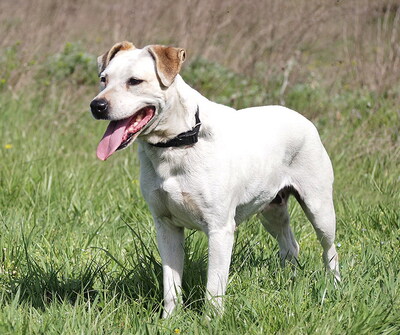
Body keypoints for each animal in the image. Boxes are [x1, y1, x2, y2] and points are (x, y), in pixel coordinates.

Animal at [90, 42, 340, 318]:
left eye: (135, 81)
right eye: (104, 79)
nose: (97, 105)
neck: (176, 143)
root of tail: (302, 118)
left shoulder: (220, 229)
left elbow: (214, 286)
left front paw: (211, 320)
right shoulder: (166, 226)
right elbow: (171, 284)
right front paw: (169, 319)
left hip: (319, 207)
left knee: (329, 249)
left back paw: (334, 286)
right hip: (271, 209)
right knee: (289, 244)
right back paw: (289, 280)